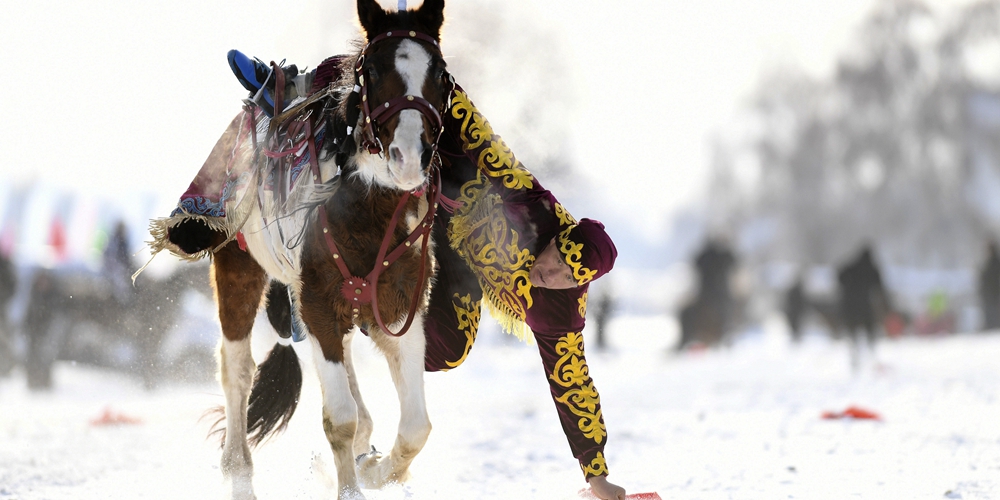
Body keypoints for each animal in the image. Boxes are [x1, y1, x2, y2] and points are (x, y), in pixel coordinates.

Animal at [175, 1, 450, 498]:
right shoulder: (318, 301)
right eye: (372, 70)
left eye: (438, 71)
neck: (363, 209)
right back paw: (239, 470)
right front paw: (353, 482)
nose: (407, 157)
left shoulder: (398, 306)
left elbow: (416, 427)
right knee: (237, 370)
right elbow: (338, 420)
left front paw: (377, 470)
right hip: (239, 268)